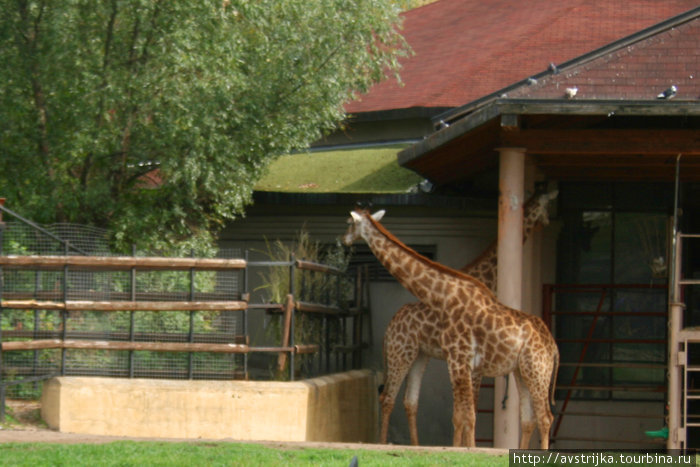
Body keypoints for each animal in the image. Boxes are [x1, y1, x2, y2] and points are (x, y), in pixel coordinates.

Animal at [342, 208, 560, 450]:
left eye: (349, 222)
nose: (343, 240)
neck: (444, 296)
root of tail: (554, 347)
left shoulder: (461, 360)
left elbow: (466, 415)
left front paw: (467, 449)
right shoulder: (462, 363)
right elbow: (462, 415)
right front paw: (462, 448)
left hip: (536, 370)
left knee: (544, 417)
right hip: (519, 371)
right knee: (528, 417)